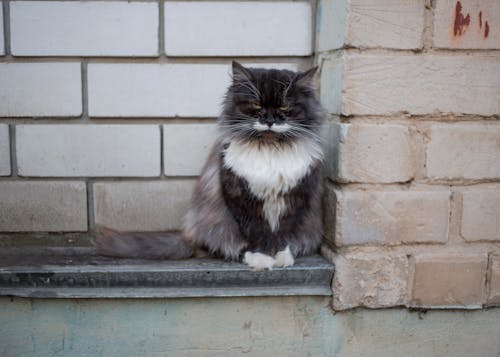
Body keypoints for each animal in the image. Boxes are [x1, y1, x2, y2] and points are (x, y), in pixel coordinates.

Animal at [95, 61, 326, 268]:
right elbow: (256, 233)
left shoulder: (296, 197)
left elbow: (283, 234)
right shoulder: (240, 196)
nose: (269, 120)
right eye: (256, 105)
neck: (269, 148)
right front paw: (260, 259)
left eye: (285, 106)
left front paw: (281, 258)